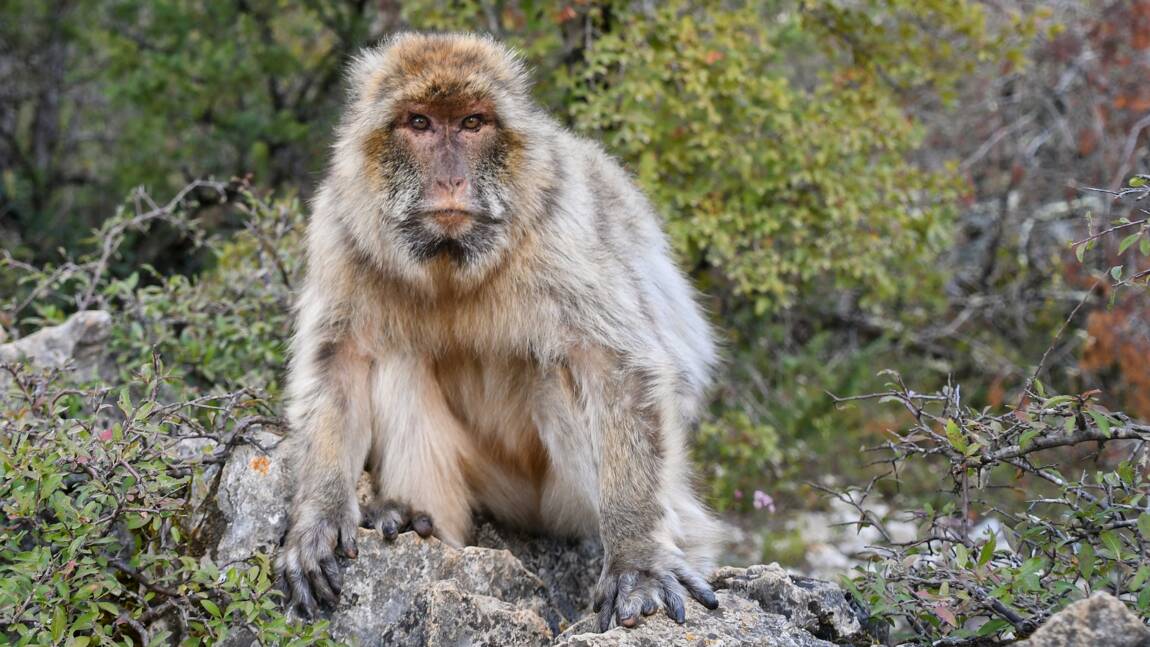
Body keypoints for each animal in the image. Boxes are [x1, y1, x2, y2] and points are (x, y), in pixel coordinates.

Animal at [275, 32, 723, 632]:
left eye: (472, 123)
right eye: (419, 122)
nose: (451, 179)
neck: (451, 262)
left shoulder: (558, 223)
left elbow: (616, 367)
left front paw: (637, 558)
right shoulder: (342, 226)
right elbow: (339, 360)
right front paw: (320, 516)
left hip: (564, 502)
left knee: (559, 373)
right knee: (396, 356)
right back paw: (413, 519)